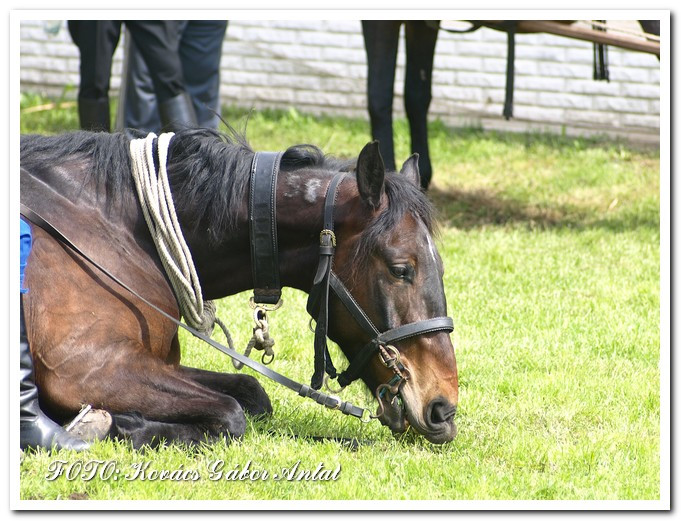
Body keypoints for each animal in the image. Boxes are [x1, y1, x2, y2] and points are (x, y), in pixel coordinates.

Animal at [18, 127, 460, 446]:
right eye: (401, 269)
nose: (443, 408)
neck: (117, 226)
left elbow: (251, 391)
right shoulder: (89, 369)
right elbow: (231, 414)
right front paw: (116, 425)